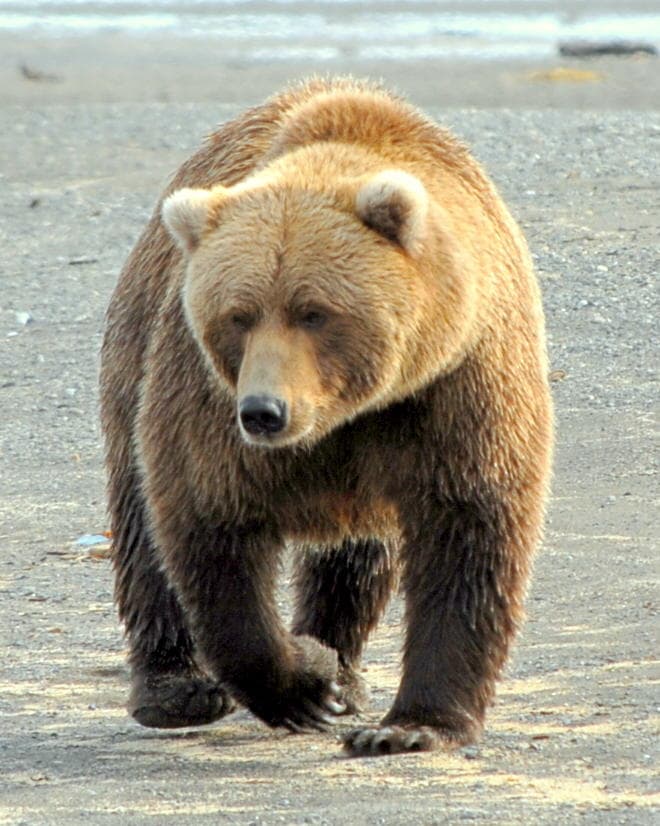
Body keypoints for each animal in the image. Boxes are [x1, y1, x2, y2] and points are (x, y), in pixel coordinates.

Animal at [100, 77, 553, 756]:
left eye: (313, 311)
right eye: (239, 314)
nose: (265, 411)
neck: (344, 414)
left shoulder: (455, 386)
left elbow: (470, 527)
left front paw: (408, 726)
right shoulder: (206, 395)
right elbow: (208, 517)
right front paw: (304, 684)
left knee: (359, 558)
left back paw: (346, 665)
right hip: (138, 350)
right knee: (141, 521)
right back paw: (177, 689)